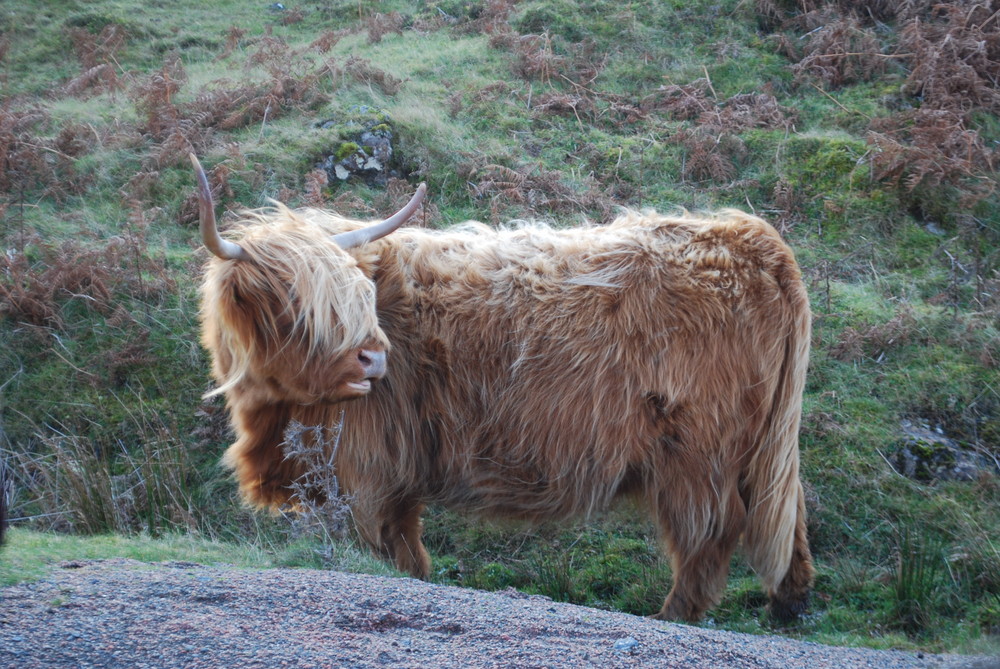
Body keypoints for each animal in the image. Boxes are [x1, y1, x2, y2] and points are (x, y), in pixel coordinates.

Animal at [193, 153, 812, 620]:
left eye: (353, 297)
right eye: (293, 305)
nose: (373, 359)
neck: (273, 416)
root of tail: (752, 236)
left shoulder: (368, 468)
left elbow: (388, 551)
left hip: (698, 452)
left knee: (715, 530)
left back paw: (673, 614)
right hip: (762, 446)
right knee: (786, 513)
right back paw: (790, 605)